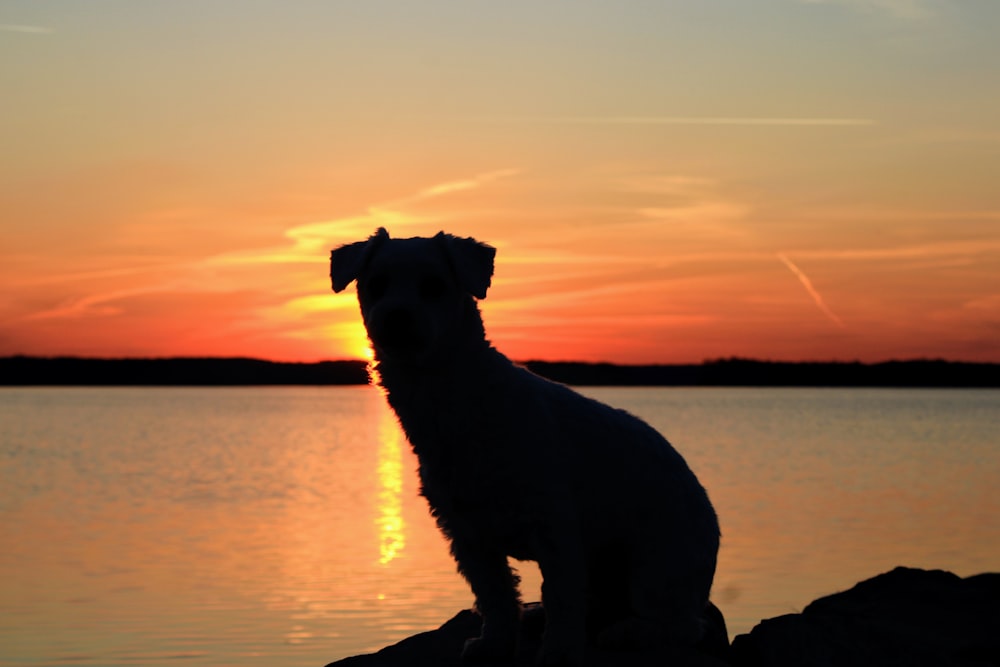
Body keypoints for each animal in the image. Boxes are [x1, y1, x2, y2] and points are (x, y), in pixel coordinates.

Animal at [334, 227, 720, 664]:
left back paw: (628, 633)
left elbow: (560, 597)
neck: (458, 398)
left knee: (680, 625)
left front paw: (559, 652)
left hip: (656, 563)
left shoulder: (556, 527)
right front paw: (494, 643)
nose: (397, 316)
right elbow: (496, 595)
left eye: (433, 285)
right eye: (376, 285)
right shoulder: (469, 533)